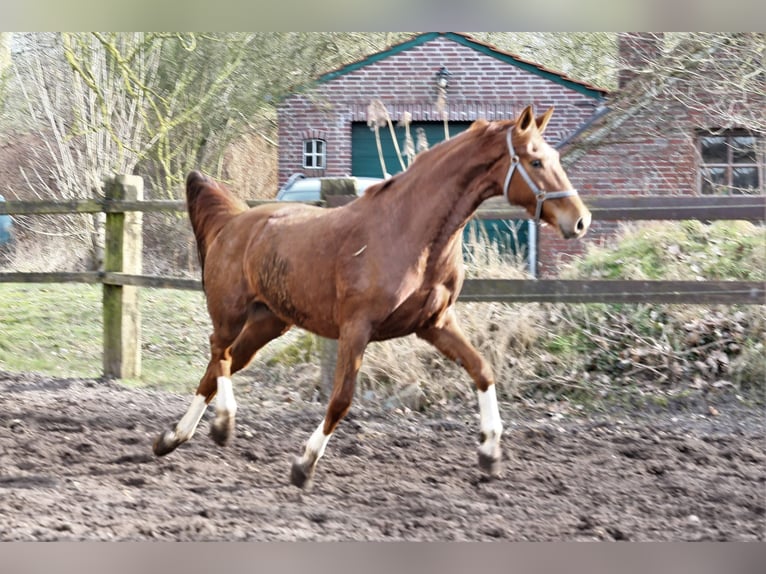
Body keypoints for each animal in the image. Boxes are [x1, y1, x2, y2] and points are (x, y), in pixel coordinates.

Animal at [152, 106, 592, 488]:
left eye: (553, 156)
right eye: (535, 162)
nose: (580, 220)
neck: (411, 234)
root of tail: (234, 222)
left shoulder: (434, 323)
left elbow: (482, 370)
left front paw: (489, 453)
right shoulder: (356, 329)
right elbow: (341, 400)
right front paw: (303, 465)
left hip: (269, 321)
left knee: (220, 364)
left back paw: (173, 437)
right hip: (230, 312)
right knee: (219, 351)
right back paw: (222, 425)